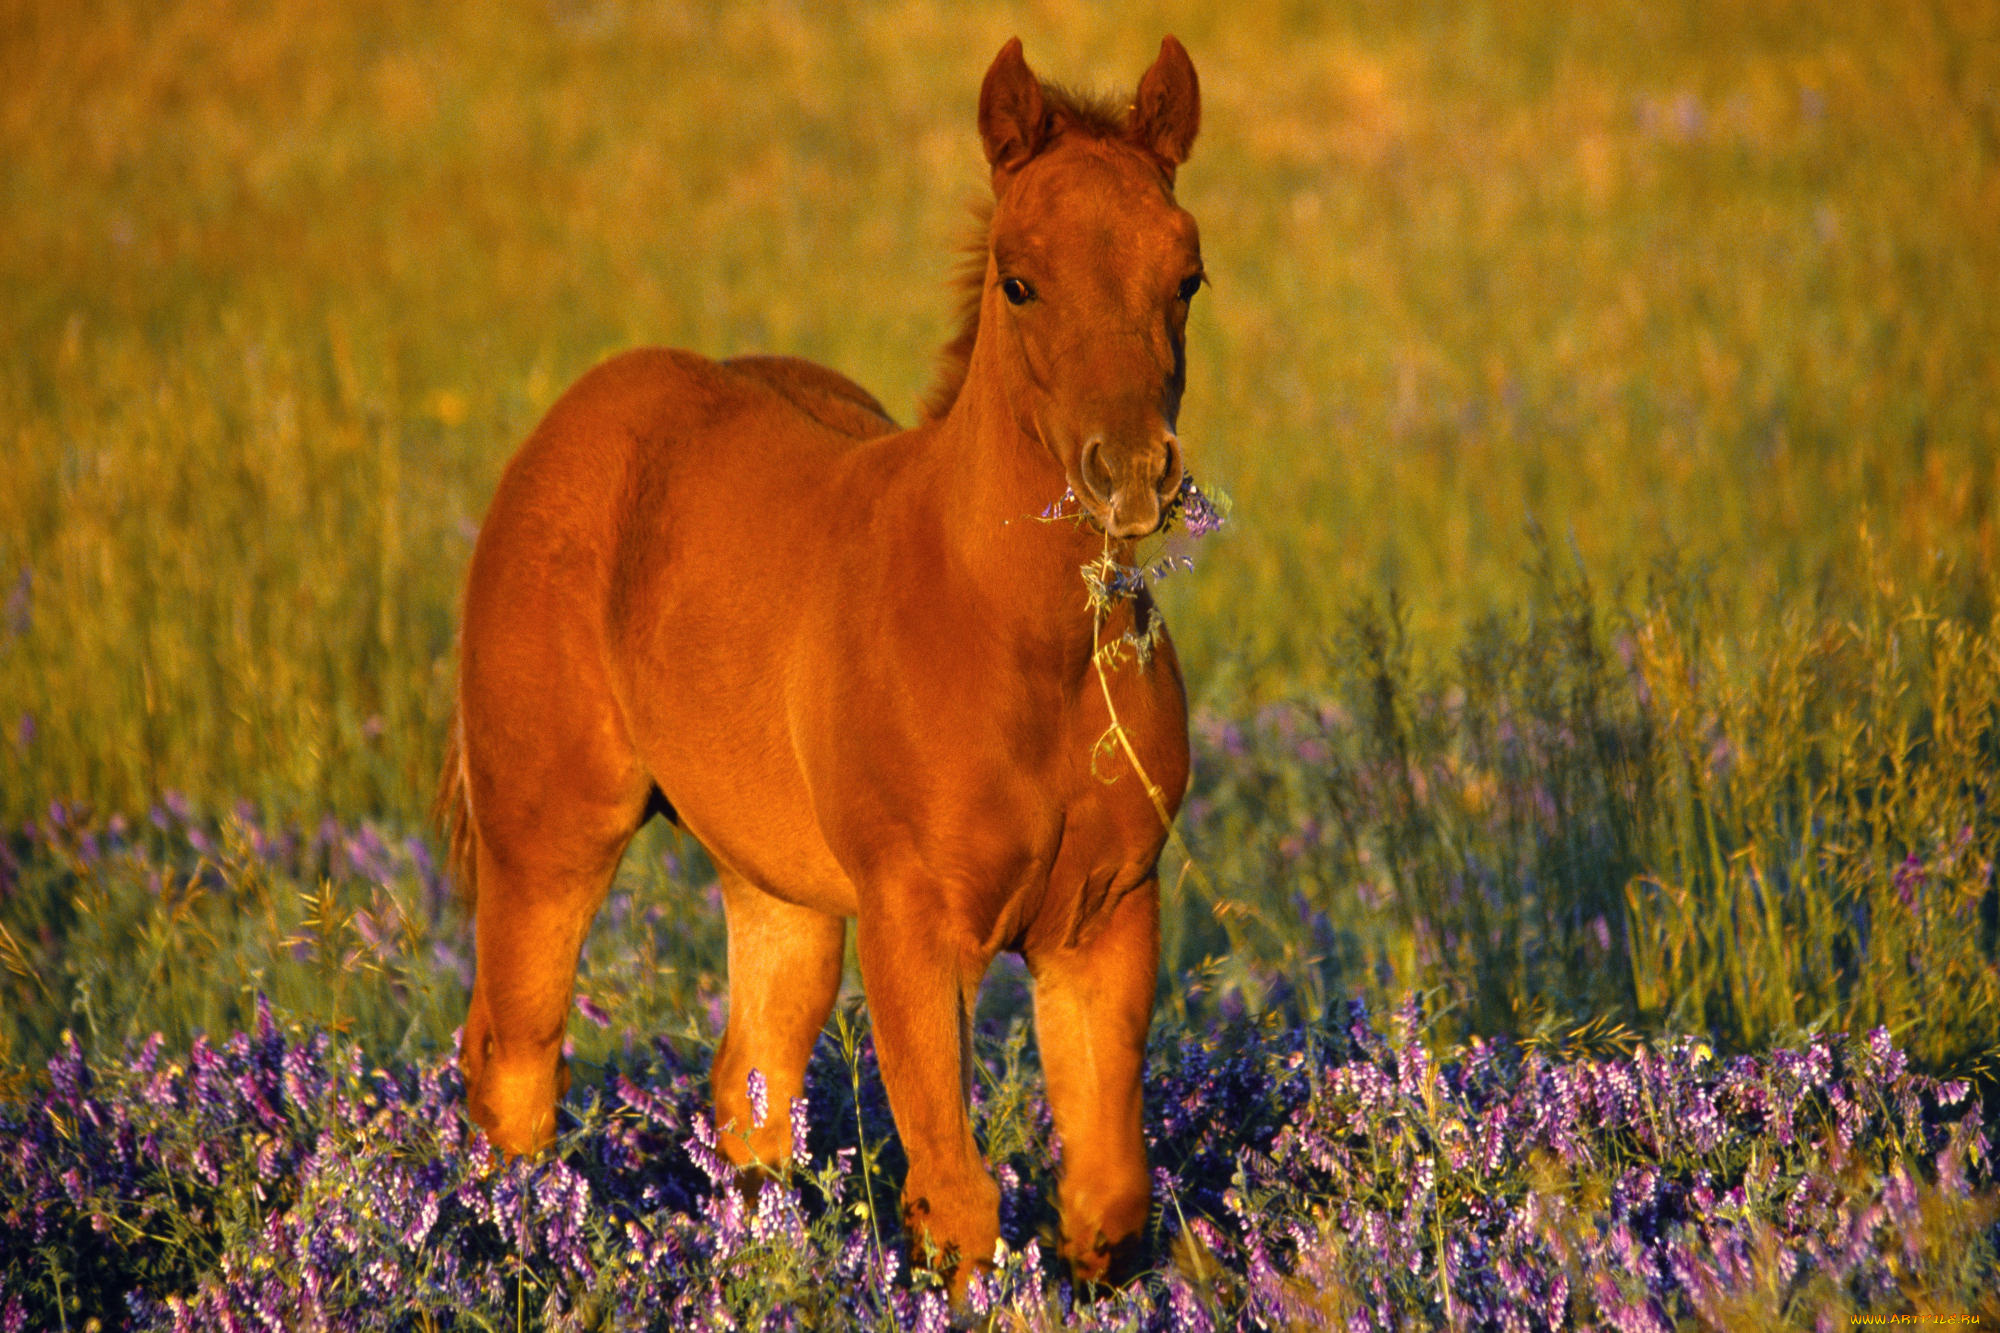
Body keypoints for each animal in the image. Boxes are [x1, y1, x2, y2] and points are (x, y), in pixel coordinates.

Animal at [442, 36, 1200, 1280]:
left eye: (1185, 274)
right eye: (1018, 280)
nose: (1131, 473)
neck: (1018, 644)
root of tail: (569, 422)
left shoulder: (1102, 916)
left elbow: (1103, 1201)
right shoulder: (913, 925)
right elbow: (957, 1201)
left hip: (776, 885)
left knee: (748, 1094)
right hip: (548, 832)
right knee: (513, 1065)